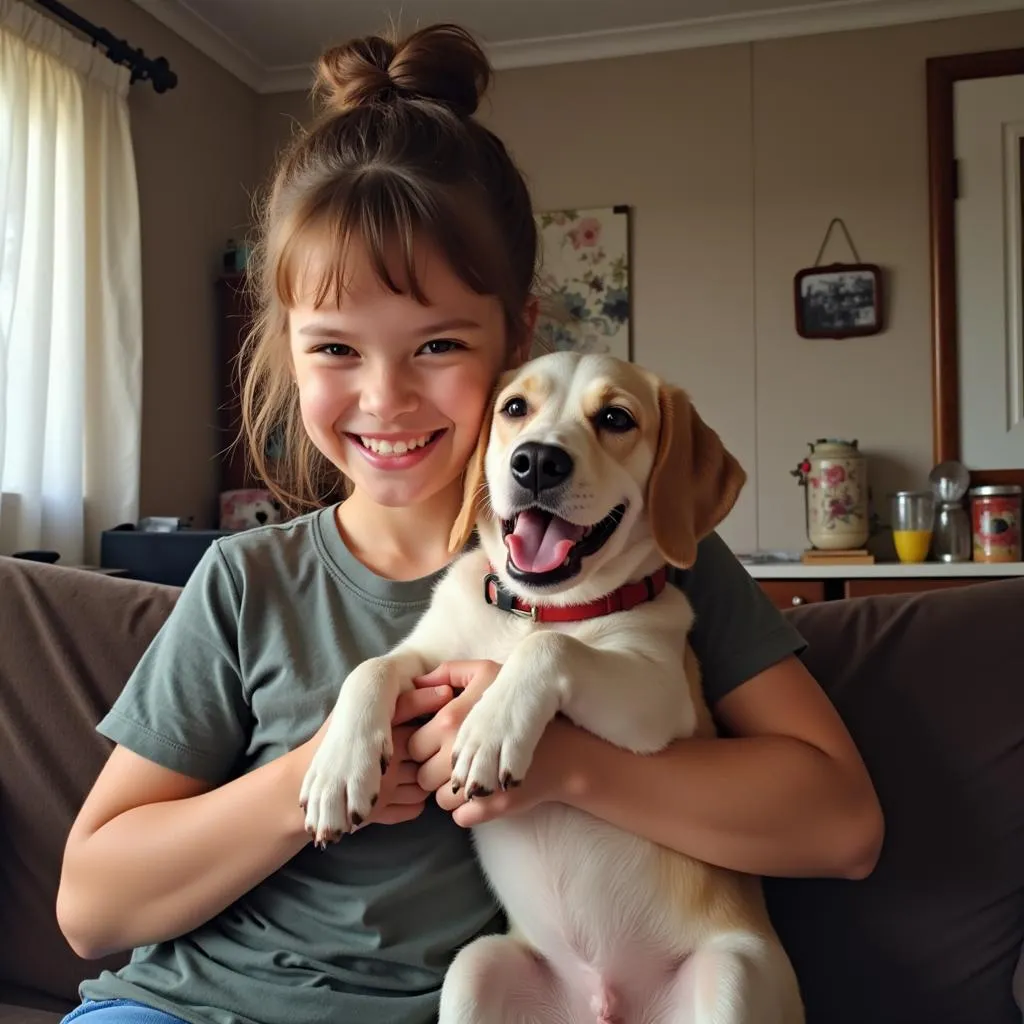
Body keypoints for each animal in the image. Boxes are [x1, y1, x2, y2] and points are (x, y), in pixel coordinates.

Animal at [299, 352, 802, 1024]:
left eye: (616, 418)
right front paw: (337, 771)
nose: (536, 460)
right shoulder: (428, 656)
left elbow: (553, 649)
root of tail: (606, 1004)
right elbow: (371, 668)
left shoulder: (658, 693)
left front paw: (489, 730)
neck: (537, 608)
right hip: (477, 968)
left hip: (731, 975)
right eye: (515, 408)